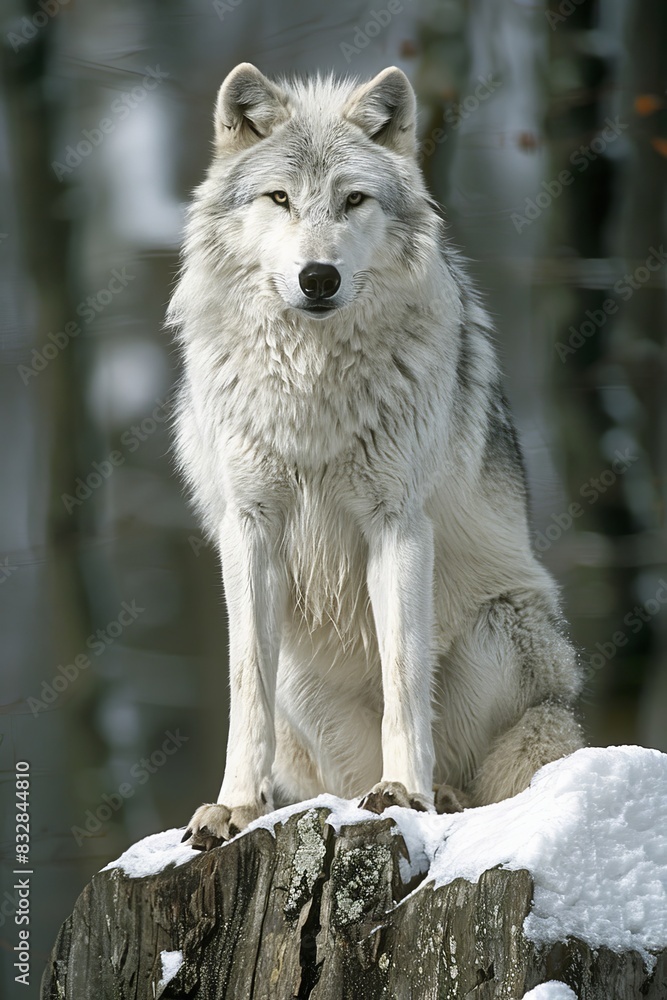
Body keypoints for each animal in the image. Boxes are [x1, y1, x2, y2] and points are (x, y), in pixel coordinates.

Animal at [169, 63, 583, 850]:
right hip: (305, 687)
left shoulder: (398, 523)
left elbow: (403, 673)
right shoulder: (251, 524)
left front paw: (405, 794)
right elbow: (245, 684)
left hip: (503, 631)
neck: (313, 383)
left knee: (483, 775)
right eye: (280, 198)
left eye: (353, 200)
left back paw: (441, 795)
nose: (318, 277)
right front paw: (234, 808)